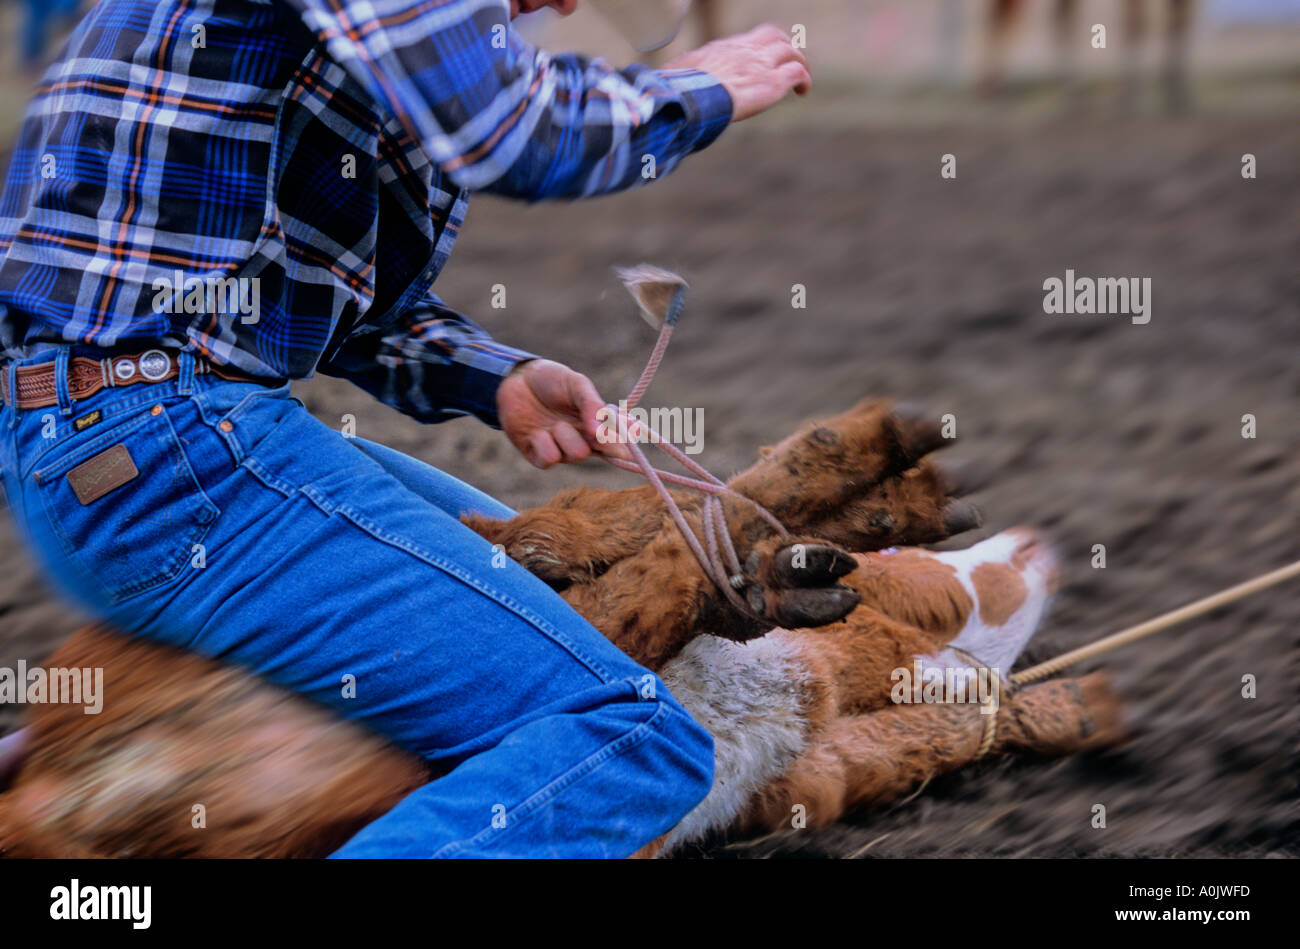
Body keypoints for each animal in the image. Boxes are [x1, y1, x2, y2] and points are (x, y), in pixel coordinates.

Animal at [0, 395, 1128, 852]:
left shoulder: (799, 773)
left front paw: (1078, 705)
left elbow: (921, 735)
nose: (1038, 544)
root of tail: (54, 785)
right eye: (921, 586)